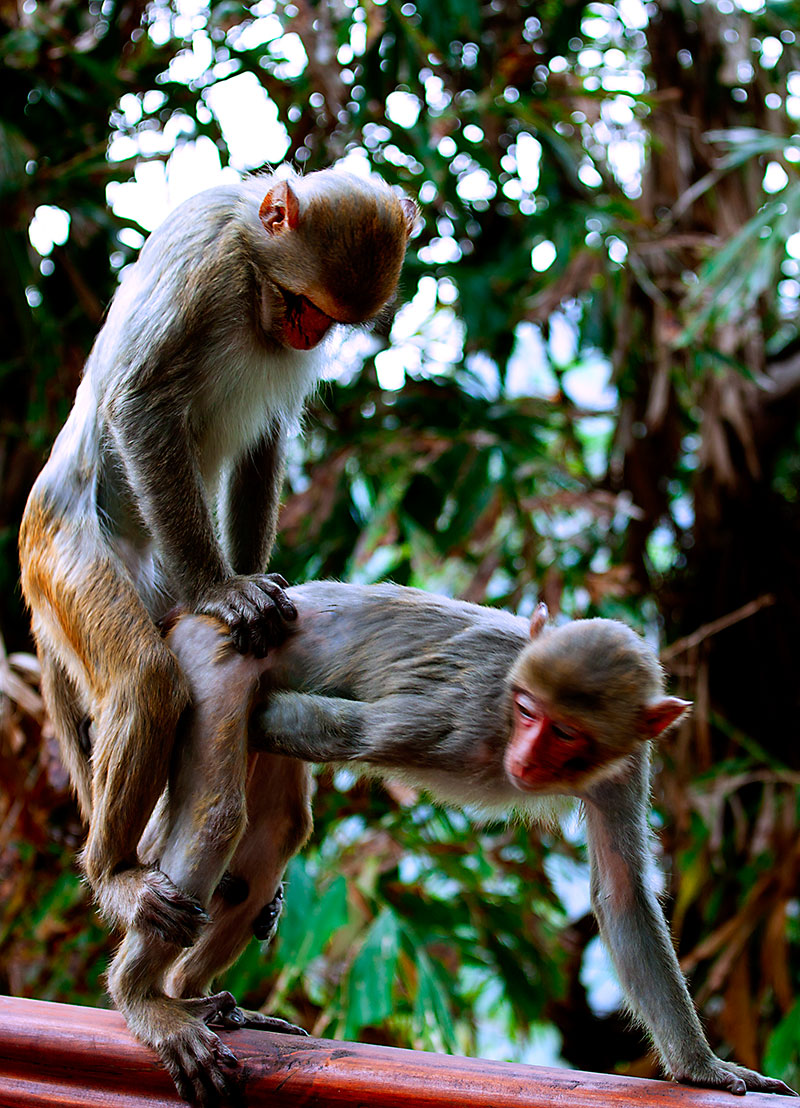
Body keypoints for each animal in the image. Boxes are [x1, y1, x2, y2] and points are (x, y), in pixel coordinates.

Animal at [17, 172, 412, 1099]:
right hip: (64, 556)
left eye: (324, 321)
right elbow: (140, 401)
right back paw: (119, 881)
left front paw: (260, 586)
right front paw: (223, 589)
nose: (304, 332)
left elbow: (264, 441)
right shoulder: (206, 261)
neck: (250, 253)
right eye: (300, 304)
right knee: (145, 681)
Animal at [120, 585, 793, 1103]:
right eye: (527, 711)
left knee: (276, 827)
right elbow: (332, 728)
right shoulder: (459, 719)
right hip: (211, 657)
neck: (504, 720)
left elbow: (624, 892)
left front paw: (703, 1069)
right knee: (218, 809)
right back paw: (146, 999)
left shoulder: (626, 764)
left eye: (565, 733)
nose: (525, 757)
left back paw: (196, 995)